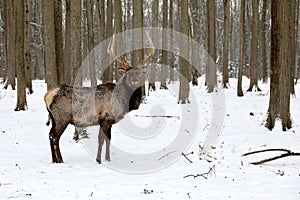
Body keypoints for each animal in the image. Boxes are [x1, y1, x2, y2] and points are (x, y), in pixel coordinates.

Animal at [44, 32, 155, 163]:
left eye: (138, 73)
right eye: (127, 73)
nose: (134, 80)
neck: (123, 101)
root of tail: (47, 95)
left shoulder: (106, 121)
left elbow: (104, 139)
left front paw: (103, 158)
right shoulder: (105, 118)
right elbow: (104, 139)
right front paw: (103, 159)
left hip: (54, 118)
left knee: (50, 135)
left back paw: (55, 160)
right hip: (61, 117)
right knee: (54, 136)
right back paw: (59, 160)